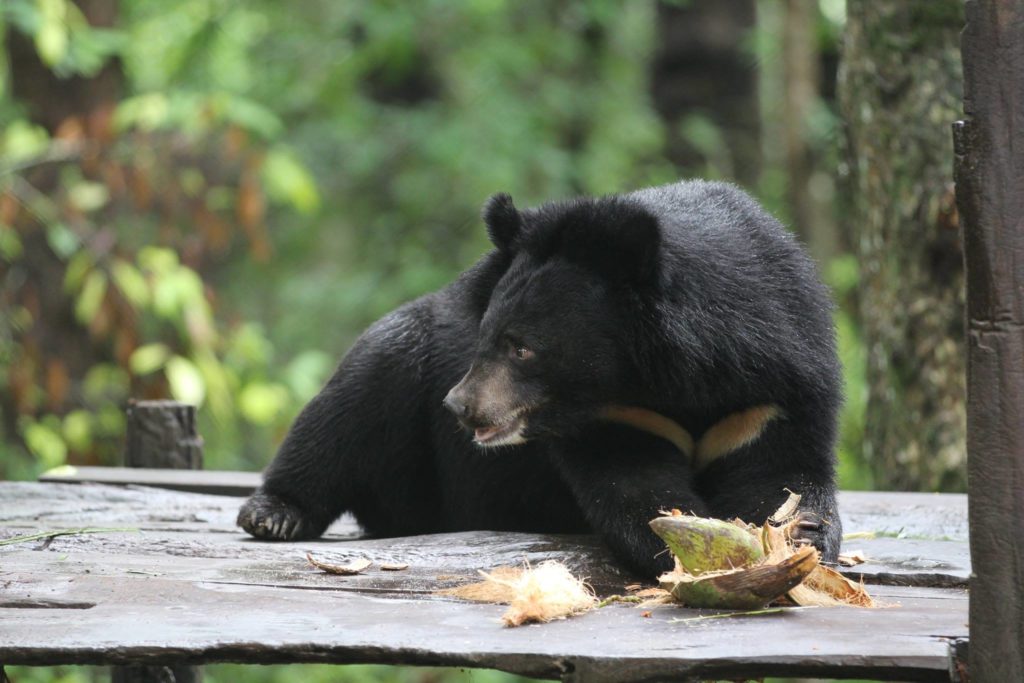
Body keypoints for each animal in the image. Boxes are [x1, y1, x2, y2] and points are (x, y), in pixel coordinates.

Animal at [237, 180, 843, 578]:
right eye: (486, 335)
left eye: (523, 348)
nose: (459, 407)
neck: (671, 378)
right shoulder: (615, 416)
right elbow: (632, 486)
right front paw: (690, 540)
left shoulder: (771, 392)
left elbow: (780, 472)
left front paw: (801, 534)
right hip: (410, 368)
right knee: (352, 403)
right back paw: (273, 514)